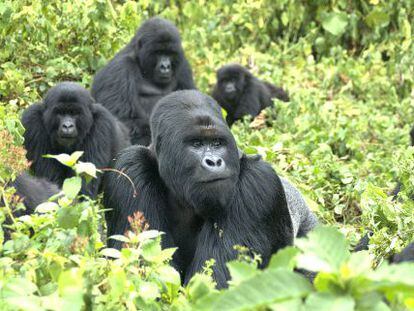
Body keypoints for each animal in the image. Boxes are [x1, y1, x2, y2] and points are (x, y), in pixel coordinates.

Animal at [91, 17, 196, 147]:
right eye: (158, 52)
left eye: (170, 53)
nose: (165, 66)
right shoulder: (119, 69)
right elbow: (125, 120)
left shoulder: (183, 65)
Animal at [103, 89, 316, 288]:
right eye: (196, 144)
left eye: (217, 143)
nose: (214, 161)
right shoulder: (129, 168)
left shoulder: (258, 184)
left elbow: (215, 284)